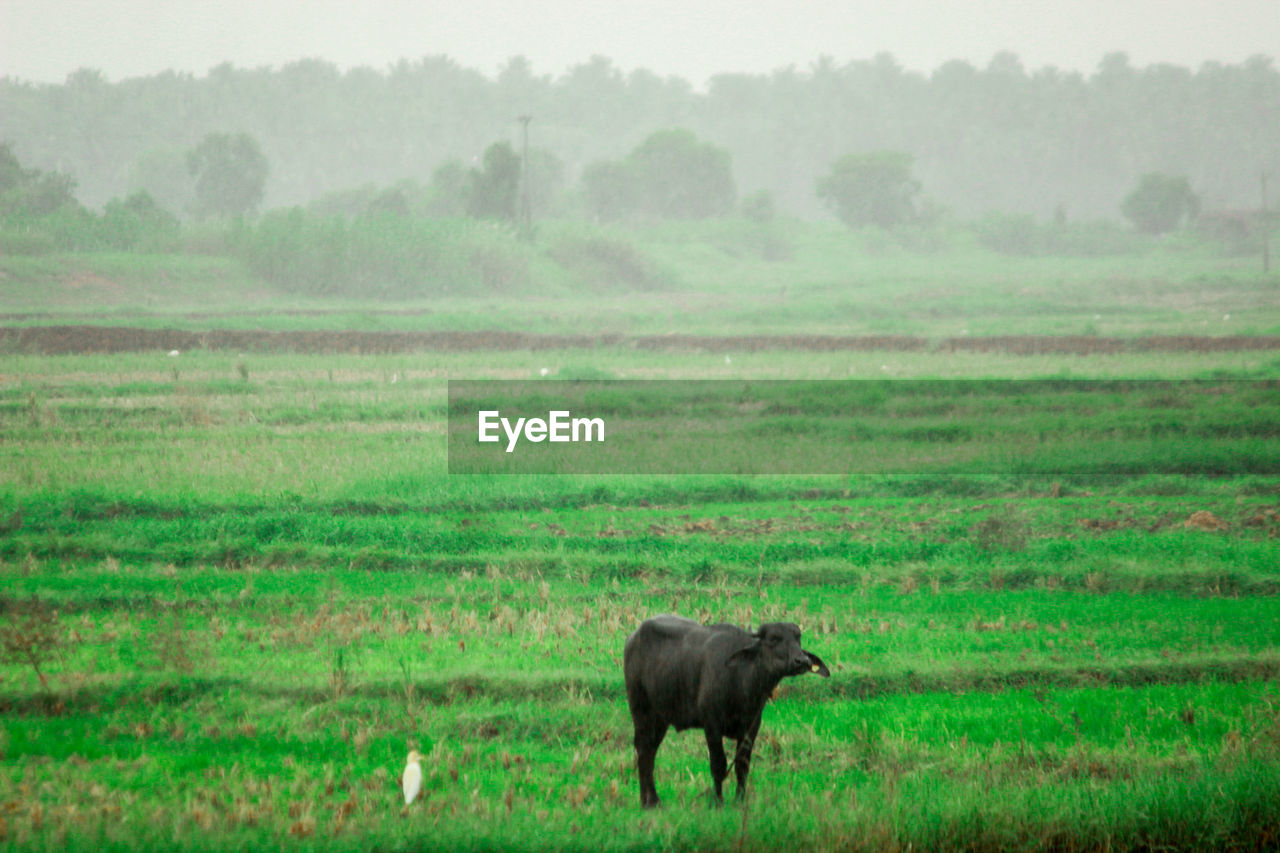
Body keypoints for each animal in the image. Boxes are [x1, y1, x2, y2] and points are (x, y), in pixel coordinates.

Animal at [622, 612, 829, 804]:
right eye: (773, 638)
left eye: (798, 638)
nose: (802, 661)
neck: (743, 683)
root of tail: (632, 638)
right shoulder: (711, 725)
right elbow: (718, 765)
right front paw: (718, 801)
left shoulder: (751, 727)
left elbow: (742, 765)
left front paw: (739, 800)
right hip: (641, 711)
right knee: (643, 750)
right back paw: (649, 801)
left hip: (660, 718)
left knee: (650, 750)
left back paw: (651, 799)